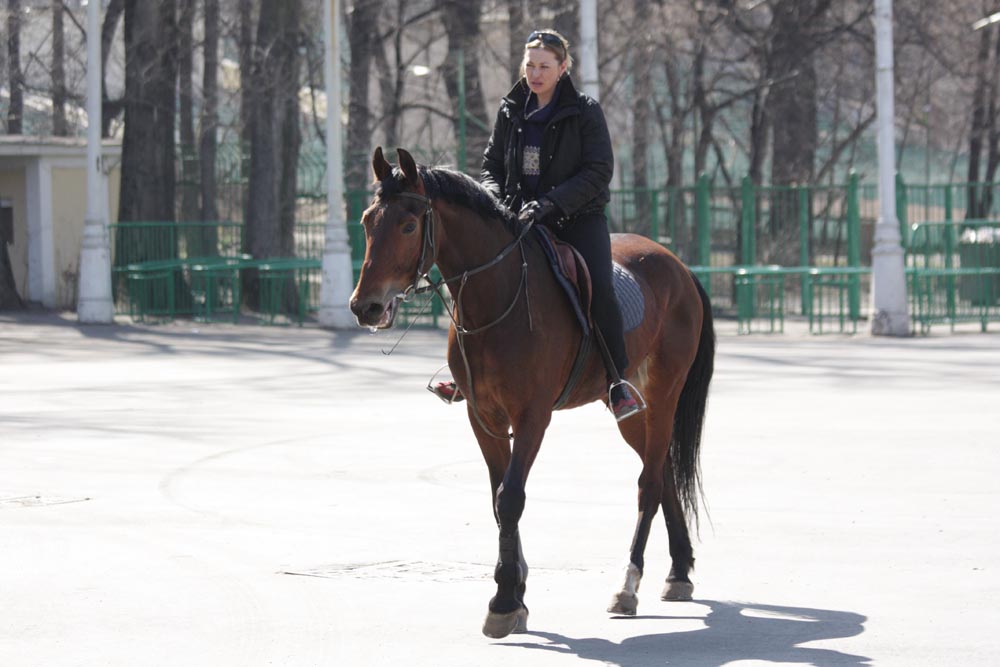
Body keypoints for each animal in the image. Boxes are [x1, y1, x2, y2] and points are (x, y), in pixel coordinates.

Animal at [350, 147, 715, 639]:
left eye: (408, 225)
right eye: (368, 221)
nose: (365, 306)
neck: (497, 295)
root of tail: (678, 266)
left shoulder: (532, 418)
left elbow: (511, 498)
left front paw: (504, 601)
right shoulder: (483, 417)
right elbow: (498, 499)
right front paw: (517, 593)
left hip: (663, 397)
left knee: (649, 485)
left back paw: (628, 583)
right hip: (630, 410)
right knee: (664, 474)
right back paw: (678, 571)